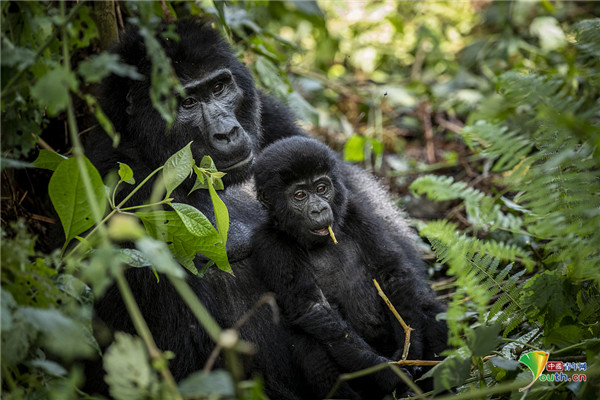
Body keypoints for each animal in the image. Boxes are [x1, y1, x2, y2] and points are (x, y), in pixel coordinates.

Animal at [251, 137, 448, 396]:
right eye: (300, 195)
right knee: (309, 344)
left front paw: (411, 348)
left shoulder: (356, 208)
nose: (319, 209)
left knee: (430, 309)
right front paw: (387, 372)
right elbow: (316, 309)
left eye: (321, 189)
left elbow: (389, 273)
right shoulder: (269, 243)